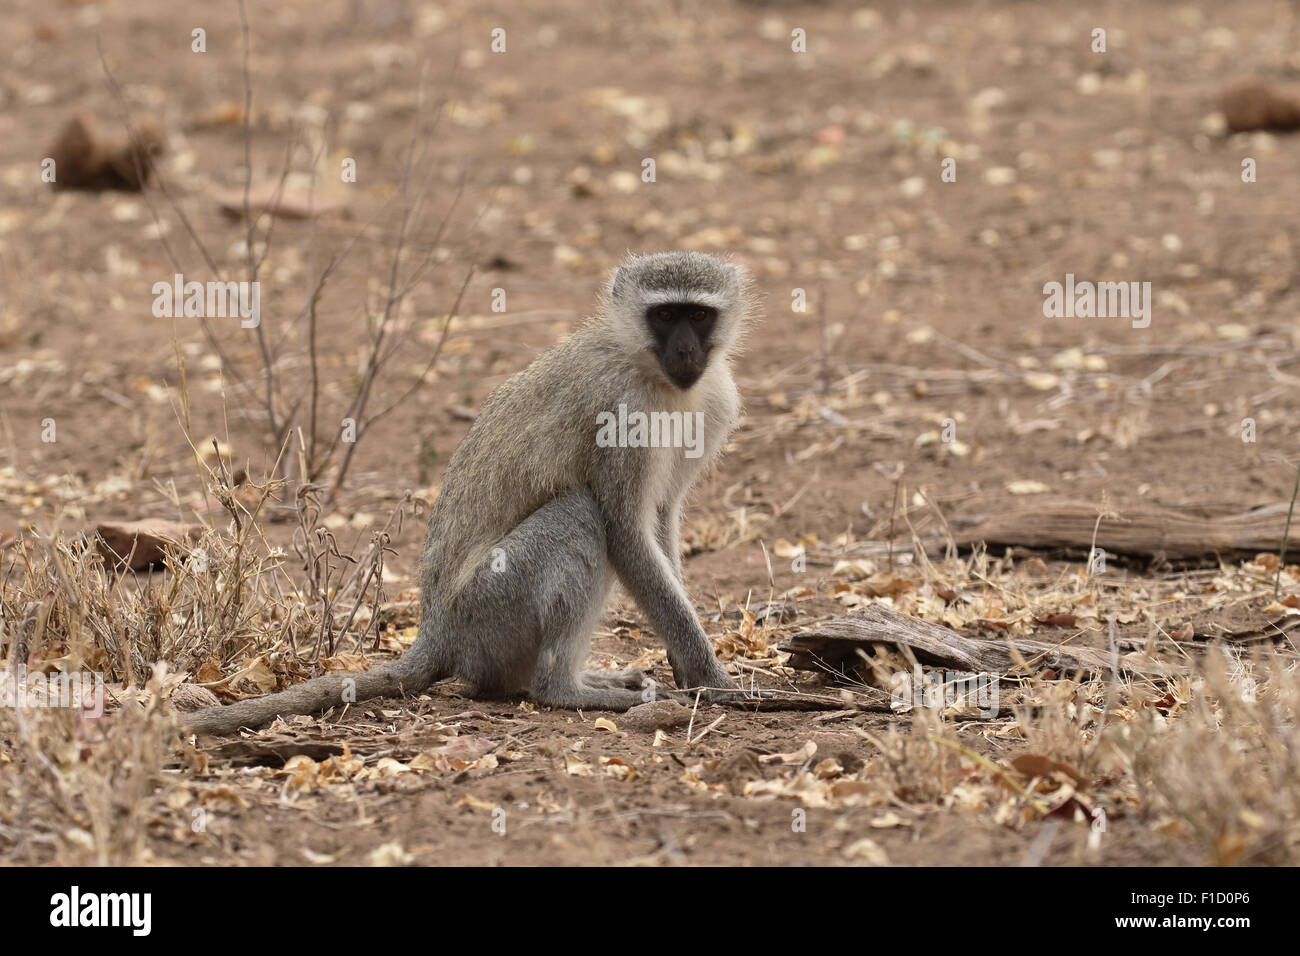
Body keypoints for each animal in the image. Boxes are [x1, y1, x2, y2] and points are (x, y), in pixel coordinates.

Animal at [185, 250, 758, 735]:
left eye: (698, 316)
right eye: (664, 316)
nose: (685, 350)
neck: (654, 374)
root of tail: (438, 633)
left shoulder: (712, 405)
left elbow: (660, 520)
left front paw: (689, 665)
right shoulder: (619, 411)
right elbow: (625, 532)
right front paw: (716, 680)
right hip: (489, 611)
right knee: (580, 513)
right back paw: (567, 690)